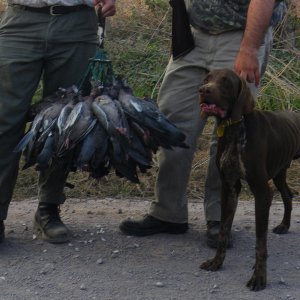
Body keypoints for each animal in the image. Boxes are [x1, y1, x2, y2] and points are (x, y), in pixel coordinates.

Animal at [198, 68, 298, 290]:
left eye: (225, 81)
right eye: (207, 78)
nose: (203, 90)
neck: (235, 128)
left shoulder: (262, 192)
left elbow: (260, 243)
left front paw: (259, 277)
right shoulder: (229, 188)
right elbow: (223, 232)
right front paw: (217, 262)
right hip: (279, 174)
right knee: (287, 196)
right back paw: (284, 226)